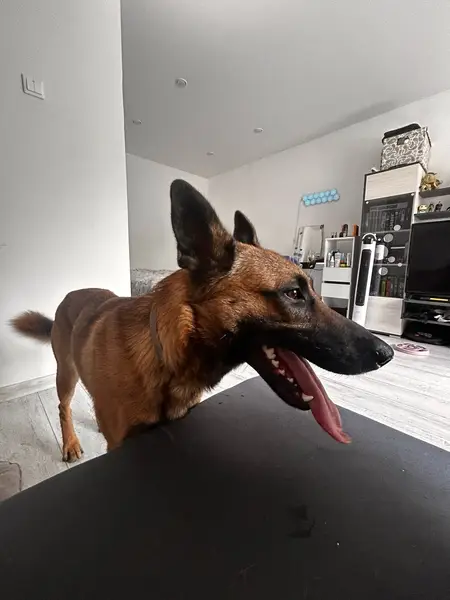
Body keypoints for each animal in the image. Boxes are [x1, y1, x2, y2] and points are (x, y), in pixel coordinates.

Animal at [11, 180, 393, 461]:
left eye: (313, 290)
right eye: (293, 294)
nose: (387, 353)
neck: (163, 355)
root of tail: (71, 295)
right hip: (66, 374)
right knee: (63, 407)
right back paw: (70, 442)